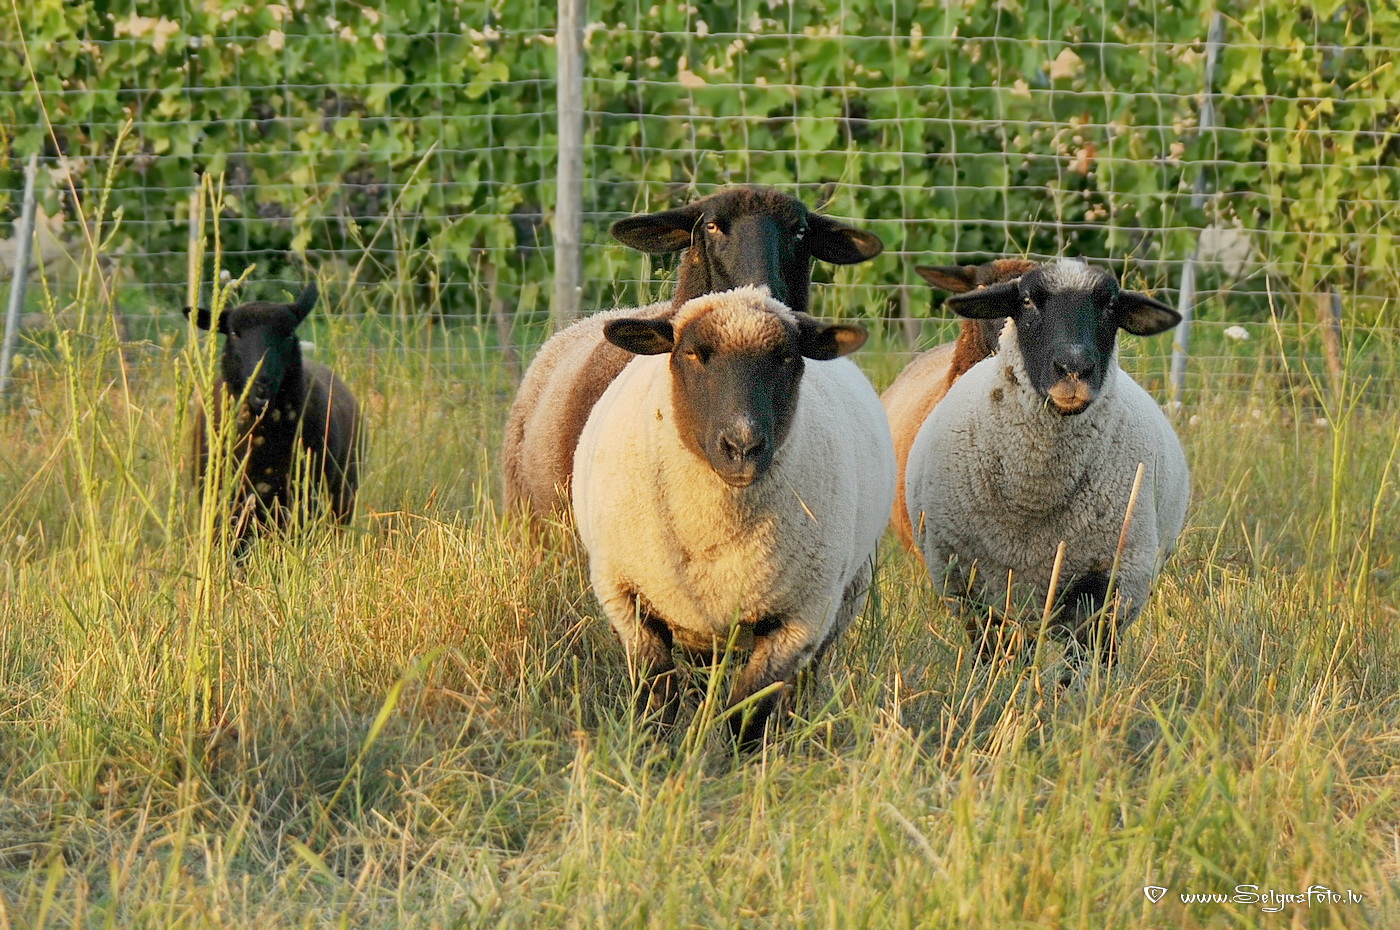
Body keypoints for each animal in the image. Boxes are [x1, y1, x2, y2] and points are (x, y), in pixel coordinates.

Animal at [571, 286, 896, 748]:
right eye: (693, 353)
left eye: (786, 357)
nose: (743, 448)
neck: (713, 530)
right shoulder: (626, 598)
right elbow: (658, 699)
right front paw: (654, 753)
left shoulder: (799, 619)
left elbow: (747, 713)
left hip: (843, 600)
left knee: (805, 680)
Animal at [903, 258, 1189, 670]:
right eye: (1026, 301)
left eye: (1110, 305)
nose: (1074, 368)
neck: (1035, 494)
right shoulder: (966, 580)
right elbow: (991, 653)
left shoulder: (1109, 580)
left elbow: (1086, 658)